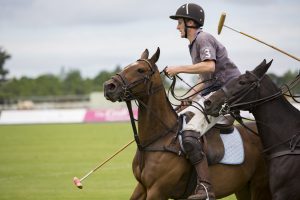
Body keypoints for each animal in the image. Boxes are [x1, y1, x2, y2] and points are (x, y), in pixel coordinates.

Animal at [103, 48, 272, 200]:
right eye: (126, 67)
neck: (156, 140)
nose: (108, 86)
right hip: (243, 187)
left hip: (260, 184)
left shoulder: (157, 190)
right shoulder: (142, 187)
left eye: (140, 70)